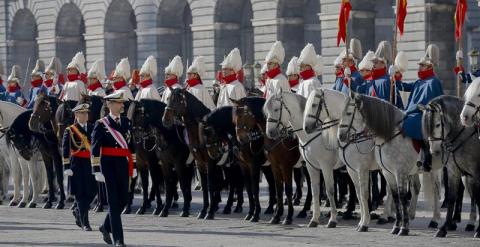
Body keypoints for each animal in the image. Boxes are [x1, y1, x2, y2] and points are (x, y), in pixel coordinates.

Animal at [232, 97, 304, 225]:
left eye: (243, 115)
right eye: (234, 117)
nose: (241, 139)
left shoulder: (280, 166)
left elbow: (285, 189)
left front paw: (287, 217)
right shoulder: (250, 166)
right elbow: (275, 188)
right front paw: (274, 215)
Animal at [264, 91, 340, 229]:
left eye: (276, 109)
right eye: (266, 111)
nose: (270, 132)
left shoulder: (325, 166)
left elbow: (329, 190)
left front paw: (332, 219)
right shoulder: (309, 166)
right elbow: (314, 190)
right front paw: (314, 219)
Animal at [306, 89, 392, 232]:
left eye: (313, 105)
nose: (306, 127)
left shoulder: (361, 169)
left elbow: (363, 194)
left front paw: (364, 223)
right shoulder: (351, 170)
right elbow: (358, 193)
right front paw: (361, 221)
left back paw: (386, 217)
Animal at [338, 94, 442, 235]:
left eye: (349, 113)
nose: (340, 136)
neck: (389, 136)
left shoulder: (393, 172)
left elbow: (399, 197)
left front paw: (403, 228)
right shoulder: (381, 172)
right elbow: (393, 196)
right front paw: (396, 226)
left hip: (433, 169)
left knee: (436, 189)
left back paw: (435, 220)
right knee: (416, 187)